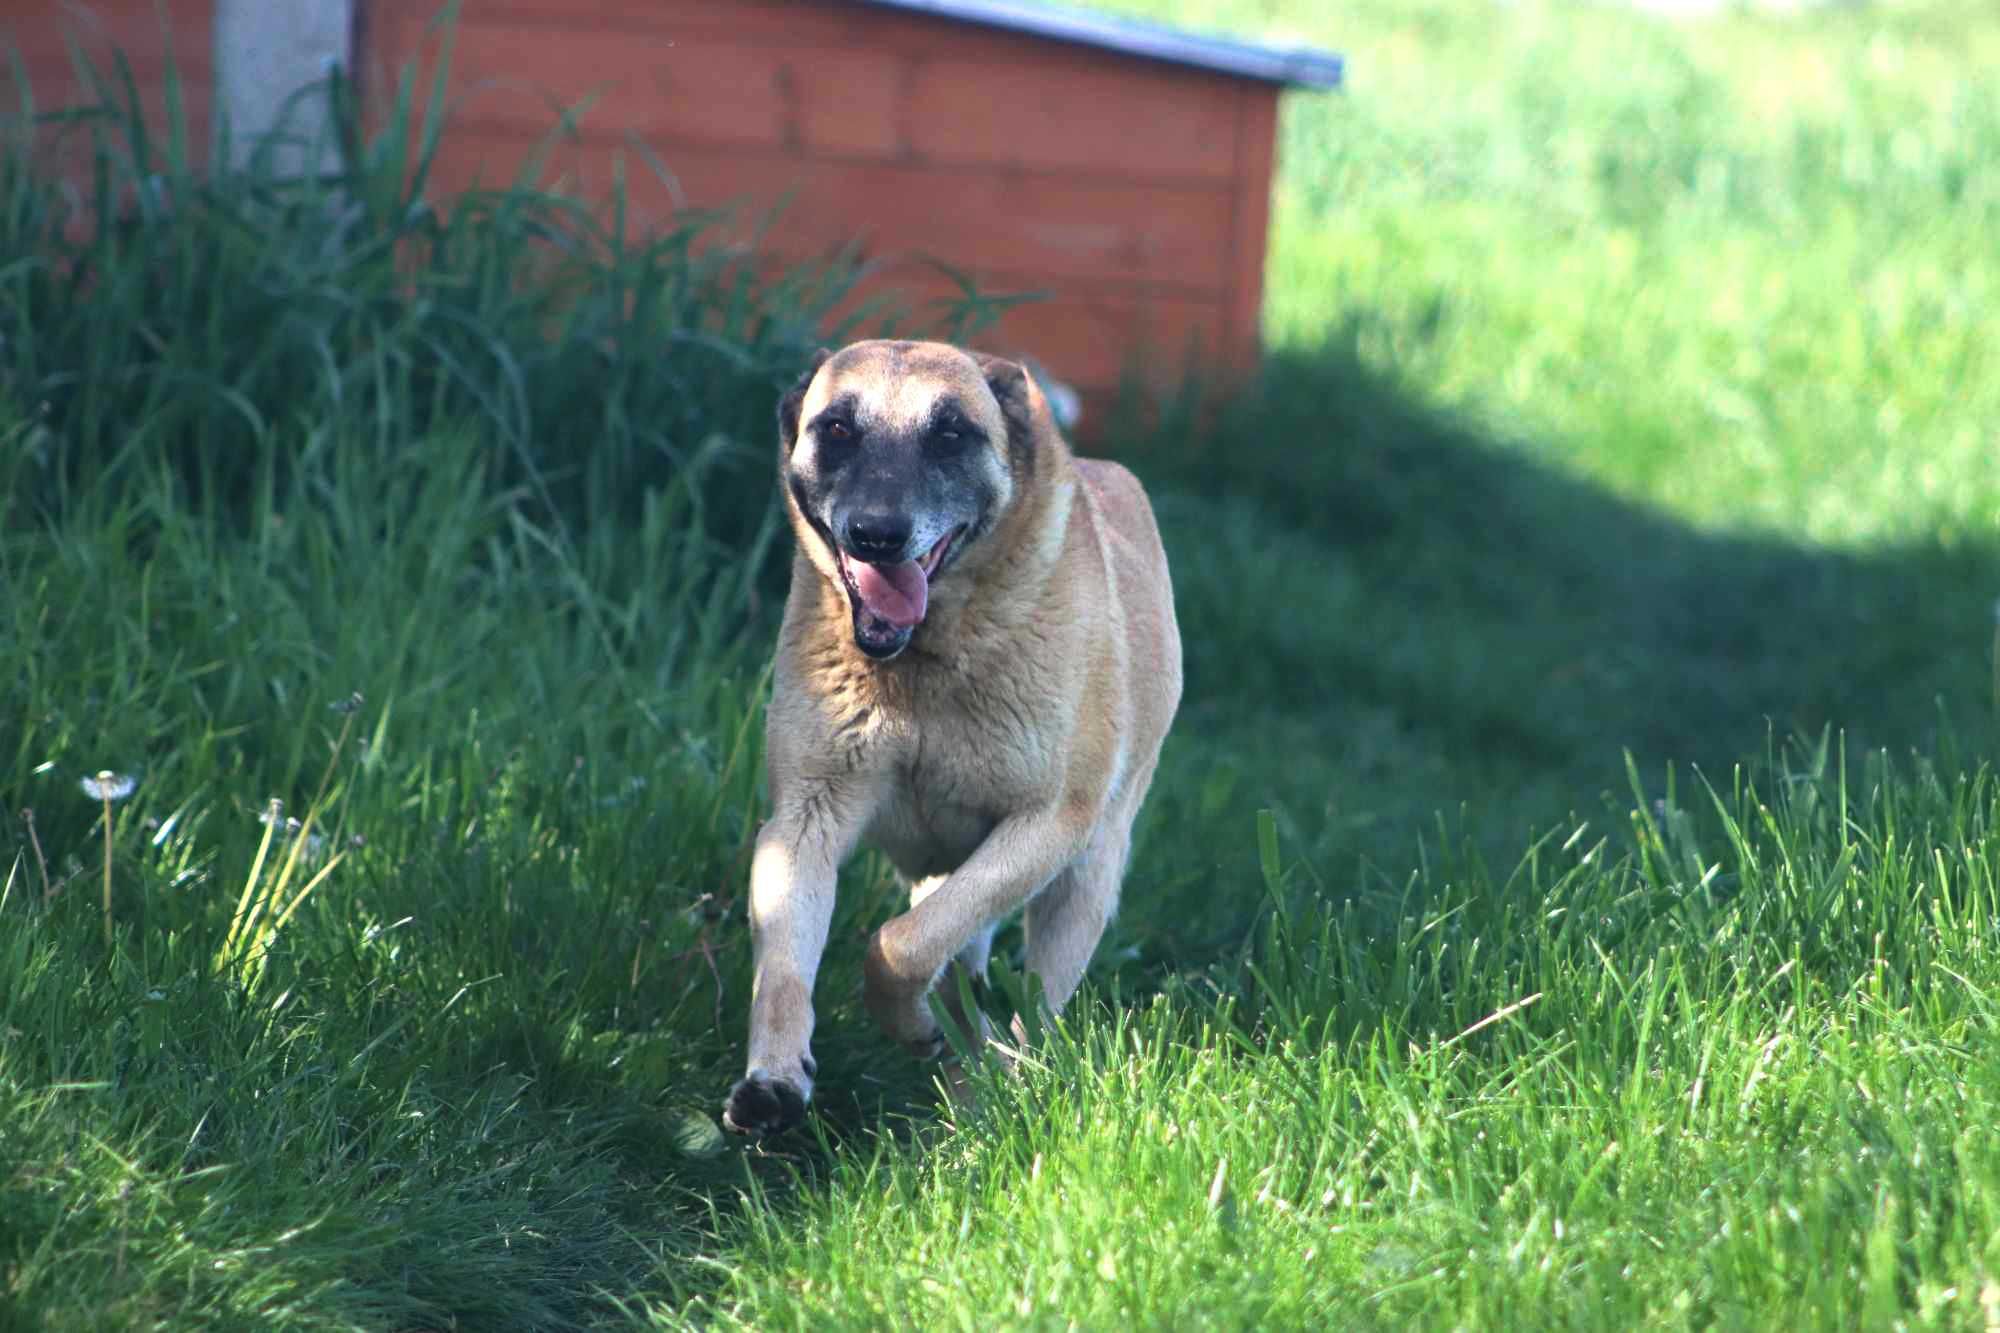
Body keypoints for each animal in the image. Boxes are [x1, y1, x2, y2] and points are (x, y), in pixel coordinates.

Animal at [728, 338, 1176, 1128]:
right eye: (837, 428)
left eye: (950, 433)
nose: (876, 534)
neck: (923, 669)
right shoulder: (804, 819)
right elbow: (785, 964)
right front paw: (776, 1077)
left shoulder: (1047, 824)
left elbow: (898, 946)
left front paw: (915, 1026)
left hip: (1085, 873)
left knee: (1032, 997)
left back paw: (992, 1094)